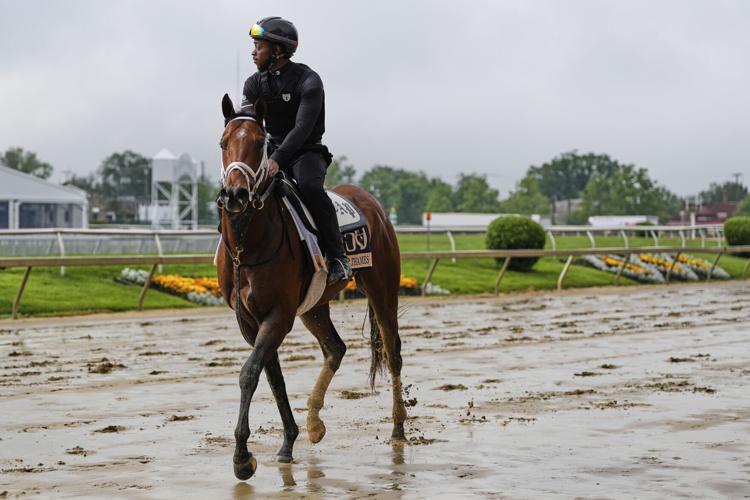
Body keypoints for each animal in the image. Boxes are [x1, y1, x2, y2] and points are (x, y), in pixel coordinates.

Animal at [215, 94, 407, 480]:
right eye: (223, 142)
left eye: (260, 143)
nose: (235, 194)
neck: (248, 244)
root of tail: (374, 204)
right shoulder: (250, 321)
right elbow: (272, 377)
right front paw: (288, 441)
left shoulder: (279, 316)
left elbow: (249, 373)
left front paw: (242, 458)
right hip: (315, 306)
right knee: (336, 348)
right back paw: (315, 423)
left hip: (382, 288)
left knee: (392, 352)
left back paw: (397, 427)